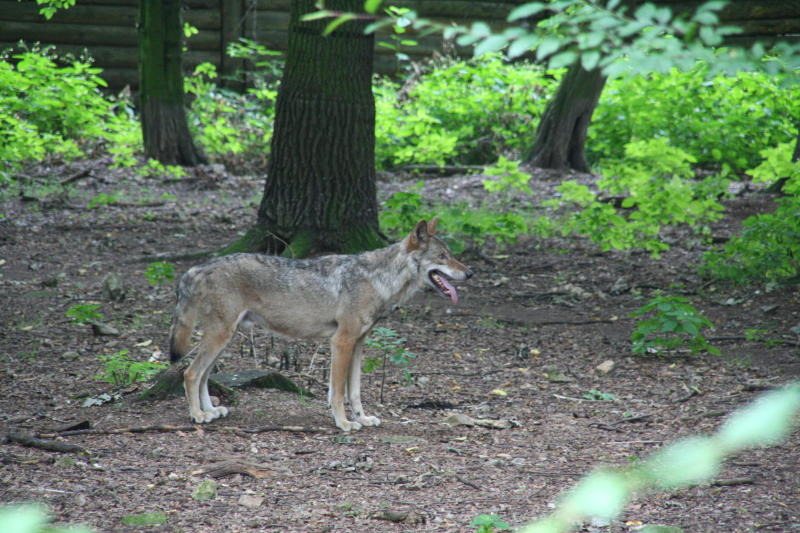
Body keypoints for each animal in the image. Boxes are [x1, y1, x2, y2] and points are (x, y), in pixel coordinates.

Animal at [166, 218, 472, 430]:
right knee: (190, 373)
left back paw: (210, 411)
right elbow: (337, 392)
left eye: (451, 254)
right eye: (443, 256)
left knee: (204, 375)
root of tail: (197, 268)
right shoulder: (341, 342)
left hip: (224, 340)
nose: (470, 273)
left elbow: (355, 391)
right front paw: (344, 423)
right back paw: (197, 415)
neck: (379, 280)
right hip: (220, 337)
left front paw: (363, 418)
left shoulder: (358, 346)